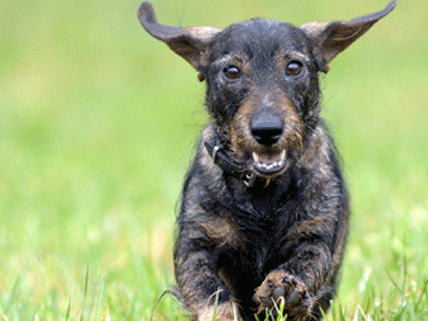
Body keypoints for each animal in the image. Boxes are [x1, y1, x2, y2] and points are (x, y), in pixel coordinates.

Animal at [139, 1, 396, 318]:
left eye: (294, 67)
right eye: (232, 71)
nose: (267, 129)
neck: (263, 188)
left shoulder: (316, 237)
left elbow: (302, 264)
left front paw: (285, 291)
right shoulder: (196, 243)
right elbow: (210, 292)